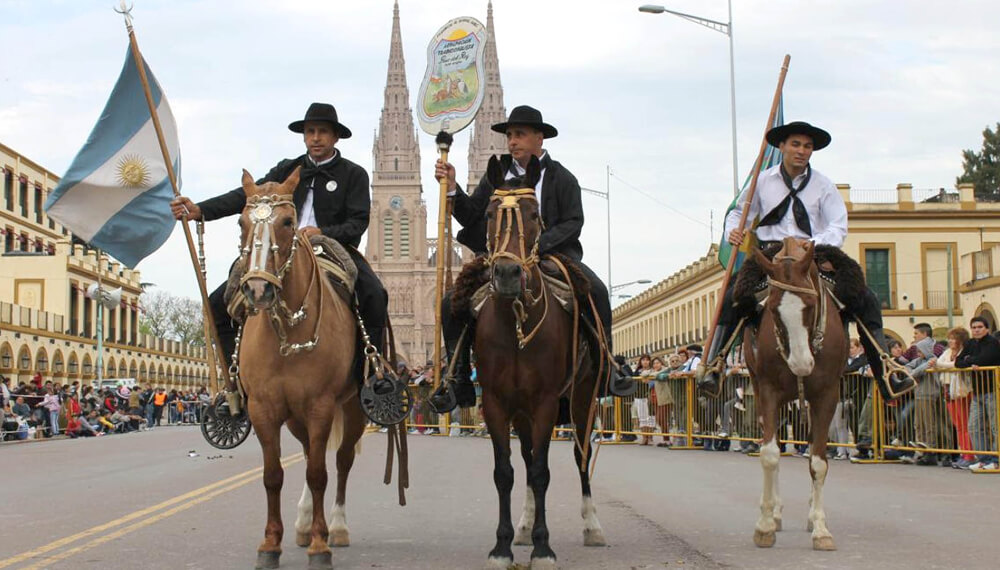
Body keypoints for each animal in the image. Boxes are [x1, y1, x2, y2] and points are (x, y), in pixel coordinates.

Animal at [236, 169, 366, 568]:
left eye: (288, 222)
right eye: (241, 222)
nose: (258, 290)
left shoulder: (321, 405)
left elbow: (320, 473)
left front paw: (320, 545)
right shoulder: (263, 409)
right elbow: (273, 475)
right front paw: (270, 543)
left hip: (352, 410)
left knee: (340, 461)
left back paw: (336, 527)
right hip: (295, 417)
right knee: (310, 453)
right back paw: (305, 523)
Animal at [474, 154, 604, 568]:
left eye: (534, 214)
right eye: (488, 213)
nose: (507, 274)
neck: (516, 321)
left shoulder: (547, 402)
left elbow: (543, 471)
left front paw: (544, 548)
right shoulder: (496, 403)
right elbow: (506, 472)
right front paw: (501, 546)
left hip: (582, 396)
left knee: (581, 453)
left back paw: (592, 525)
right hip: (522, 411)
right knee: (528, 456)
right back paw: (524, 526)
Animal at [748, 236, 848, 552]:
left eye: (811, 304)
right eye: (772, 309)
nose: (802, 364)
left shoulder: (827, 396)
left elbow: (818, 462)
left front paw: (820, 529)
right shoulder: (768, 390)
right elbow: (770, 454)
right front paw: (765, 526)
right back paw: (775, 512)